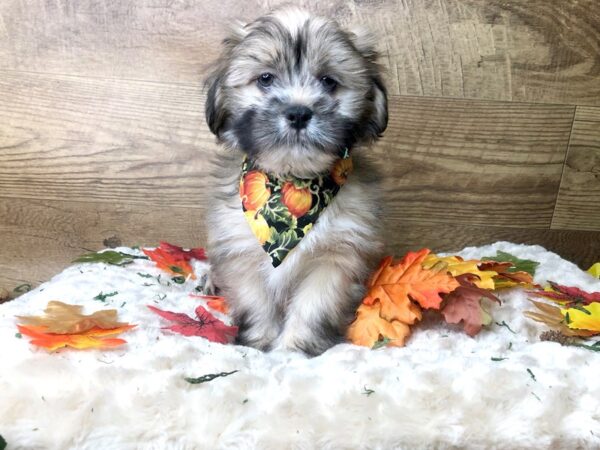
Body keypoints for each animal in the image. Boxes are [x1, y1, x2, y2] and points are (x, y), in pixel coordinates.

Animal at [204, 7, 386, 356]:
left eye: (328, 81)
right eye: (265, 79)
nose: (299, 113)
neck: (293, 179)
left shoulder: (336, 258)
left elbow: (313, 305)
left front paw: (295, 347)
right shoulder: (242, 250)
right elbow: (256, 301)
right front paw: (259, 342)